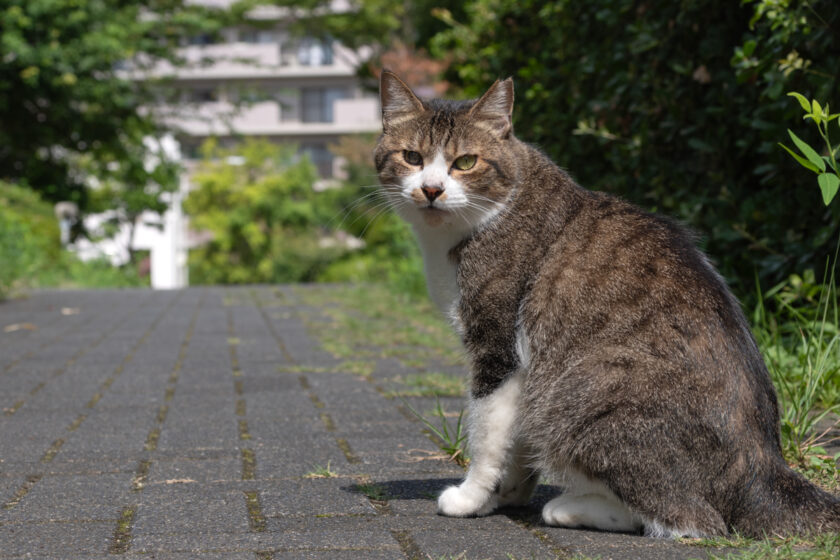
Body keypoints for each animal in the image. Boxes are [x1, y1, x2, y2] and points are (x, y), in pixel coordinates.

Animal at [374, 70, 840, 540]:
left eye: (466, 162)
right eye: (412, 157)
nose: (431, 189)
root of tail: (764, 467)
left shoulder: (498, 344)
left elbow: (487, 433)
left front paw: (471, 498)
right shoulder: (525, 367)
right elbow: (516, 439)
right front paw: (505, 494)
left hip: (585, 390)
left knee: (691, 519)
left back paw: (568, 508)